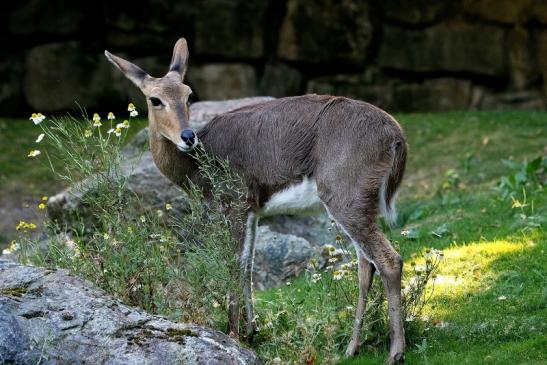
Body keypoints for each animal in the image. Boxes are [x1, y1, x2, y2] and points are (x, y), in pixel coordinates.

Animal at [106, 37, 406, 362]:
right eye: (155, 99)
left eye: (188, 95)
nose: (187, 136)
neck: (198, 167)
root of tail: (396, 137)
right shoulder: (252, 210)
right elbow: (248, 266)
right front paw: (252, 331)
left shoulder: (234, 201)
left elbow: (233, 264)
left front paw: (233, 333)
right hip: (358, 203)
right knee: (366, 265)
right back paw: (352, 348)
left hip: (344, 195)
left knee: (389, 260)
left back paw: (395, 353)